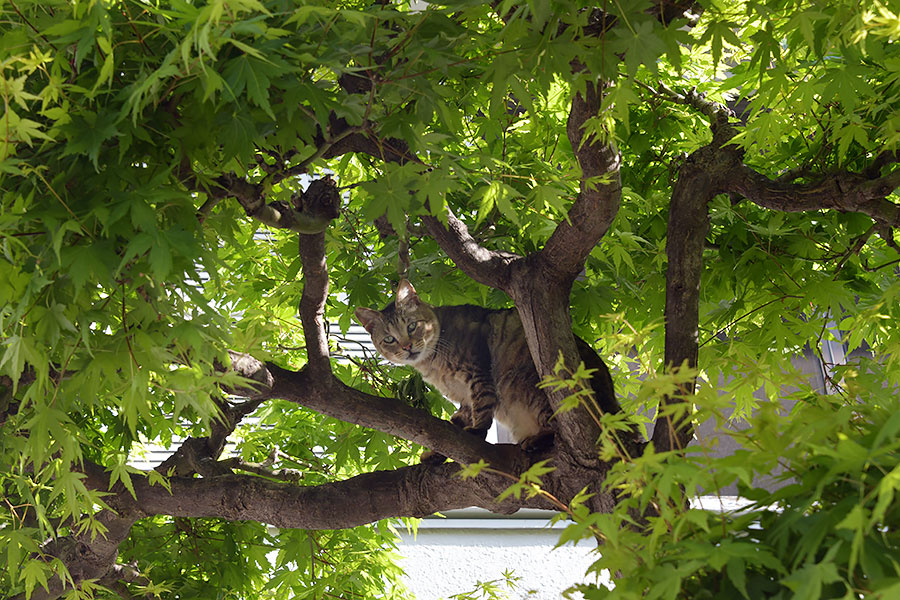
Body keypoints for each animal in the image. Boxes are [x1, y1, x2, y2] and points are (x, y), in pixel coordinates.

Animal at [354, 278, 620, 458]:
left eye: (411, 326)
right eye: (389, 339)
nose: (407, 346)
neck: (433, 364)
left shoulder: (478, 372)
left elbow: (482, 409)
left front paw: (476, 432)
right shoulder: (463, 399)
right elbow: (457, 421)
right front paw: (436, 453)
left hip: (529, 384)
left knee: (557, 430)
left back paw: (536, 440)